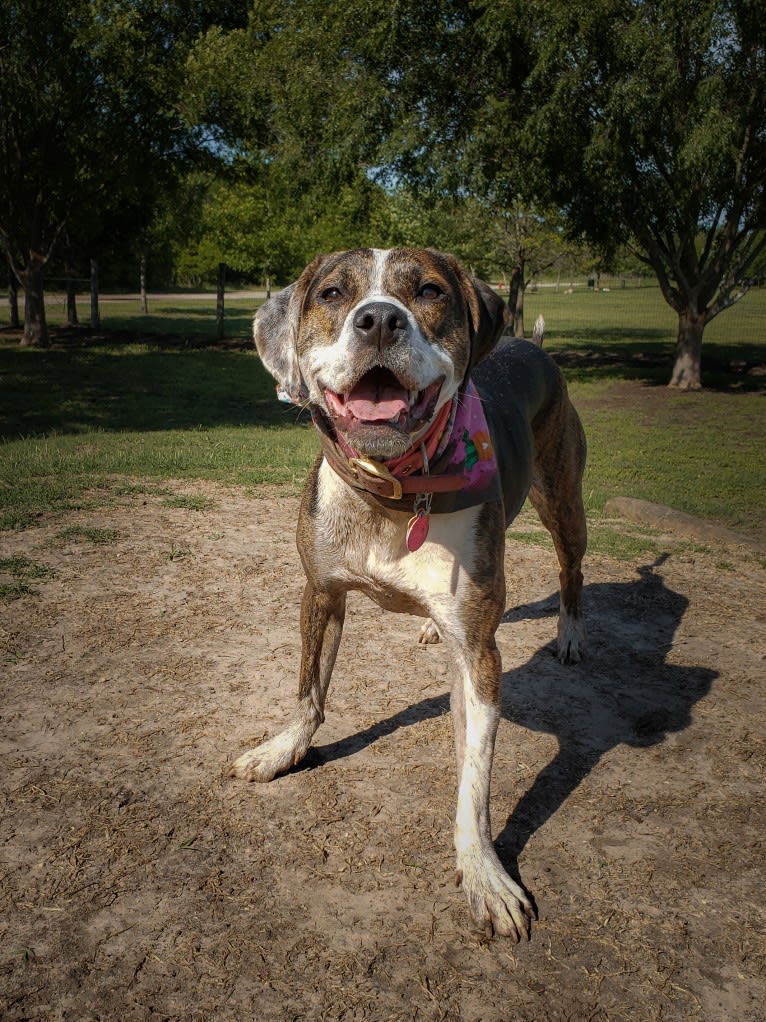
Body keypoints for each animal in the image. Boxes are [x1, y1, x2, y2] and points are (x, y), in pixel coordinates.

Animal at [230, 247, 592, 940]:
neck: (392, 494)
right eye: (332, 293)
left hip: (563, 501)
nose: (378, 320)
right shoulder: (321, 592)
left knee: (571, 573)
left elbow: (475, 777)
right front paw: (284, 750)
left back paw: (569, 635)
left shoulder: (479, 655)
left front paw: (484, 874)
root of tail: (530, 346)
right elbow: (308, 691)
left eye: (427, 291)